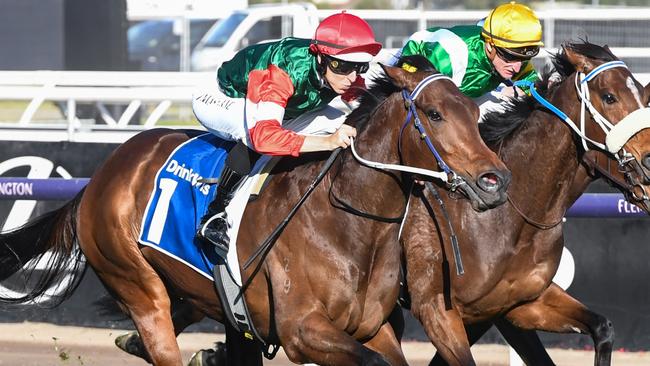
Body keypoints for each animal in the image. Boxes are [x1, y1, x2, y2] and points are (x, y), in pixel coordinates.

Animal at [0, 61, 508, 364]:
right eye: (435, 114)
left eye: (474, 112)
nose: (496, 181)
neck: (347, 222)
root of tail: (99, 179)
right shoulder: (302, 330)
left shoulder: (372, 326)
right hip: (135, 283)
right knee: (157, 327)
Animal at [398, 40, 648, 366]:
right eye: (609, 97)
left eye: (643, 94)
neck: (507, 219)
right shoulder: (437, 309)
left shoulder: (515, 304)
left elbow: (602, 328)